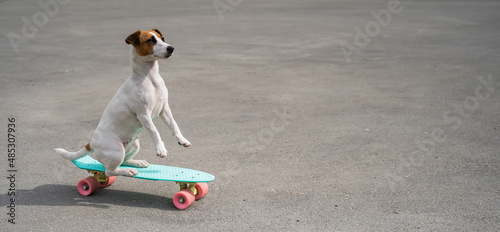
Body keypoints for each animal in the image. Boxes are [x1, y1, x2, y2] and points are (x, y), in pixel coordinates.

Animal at [54, 28, 191, 177]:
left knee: (125, 160)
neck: (150, 78)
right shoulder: (144, 114)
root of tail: (91, 143)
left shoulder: (164, 110)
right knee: (110, 171)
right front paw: (160, 148)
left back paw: (137, 163)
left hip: (135, 145)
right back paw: (127, 171)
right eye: (151, 40)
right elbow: (155, 131)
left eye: (162, 38)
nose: (171, 48)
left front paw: (182, 140)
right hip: (117, 151)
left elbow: (174, 125)